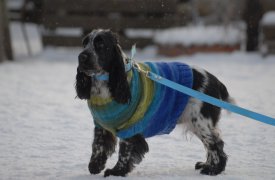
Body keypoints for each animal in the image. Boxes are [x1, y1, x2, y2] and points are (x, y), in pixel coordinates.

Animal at [75, 28, 231, 176]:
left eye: (100, 44)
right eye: (85, 43)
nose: (81, 57)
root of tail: (217, 82)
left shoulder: (130, 128)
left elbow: (125, 151)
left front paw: (116, 171)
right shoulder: (102, 125)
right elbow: (98, 145)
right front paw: (95, 166)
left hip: (201, 121)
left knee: (216, 144)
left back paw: (213, 170)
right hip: (196, 123)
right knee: (211, 144)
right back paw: (206, 165)